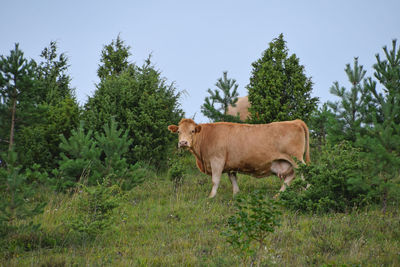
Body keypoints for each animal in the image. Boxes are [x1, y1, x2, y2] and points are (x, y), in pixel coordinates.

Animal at [167, 118, 310, 198]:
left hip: (296, 159)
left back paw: (307, 191)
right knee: (290, 176)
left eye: (192, 131)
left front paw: (211, 196)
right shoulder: (230, 165)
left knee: (305, 172)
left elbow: (215, 180)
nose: (183, 142)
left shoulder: (217, 160)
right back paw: (278, 195)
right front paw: (236, 194)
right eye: (179, 131)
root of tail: (295, 121)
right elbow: (233, 179)